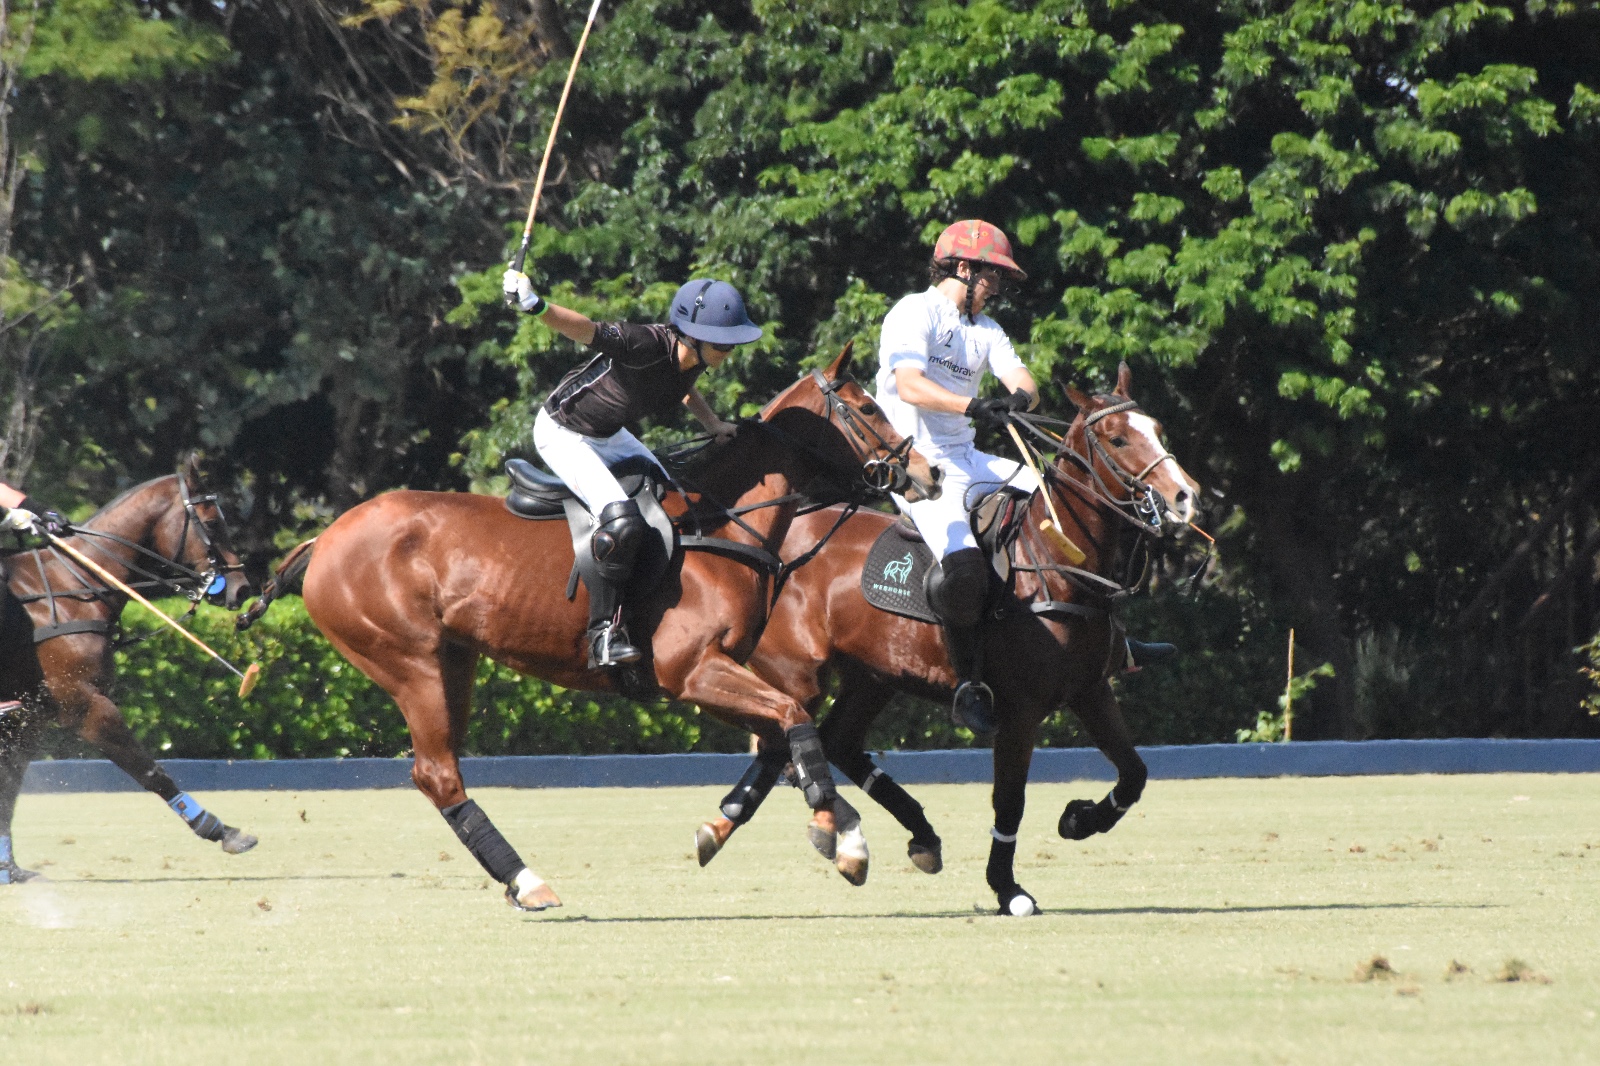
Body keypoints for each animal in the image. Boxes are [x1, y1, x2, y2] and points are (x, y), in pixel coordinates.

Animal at [0, 451, 256, 877]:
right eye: (213, 522)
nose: (242, 589)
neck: (75, 587)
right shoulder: (85, 705)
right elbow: (151, 771)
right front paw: (222, 830)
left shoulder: (31, 717)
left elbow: (10, 788)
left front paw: (10, 868)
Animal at [265, 347, 934, 902]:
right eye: (868, 406)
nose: (926, 475)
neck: (720, 524)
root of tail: (324, 540)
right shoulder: (691, 671)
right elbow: (794, 720)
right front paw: (839, 835)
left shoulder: (704, 680)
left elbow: (786, 736)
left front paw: (833, 835)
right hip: (409, 662)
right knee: (437, 774)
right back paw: (528, 882)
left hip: (455, 661)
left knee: (440, 767)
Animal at [700, 361, 1203, 909]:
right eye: (1117, 438)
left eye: (1156, 429)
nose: (1185, 496)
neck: (1058, 561)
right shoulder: (1019, 708)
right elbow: (1010, 800)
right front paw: (1008, 888)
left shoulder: (1089, 690)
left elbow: (1135, 773)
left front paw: (1078, 819)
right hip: (795, 670)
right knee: (785, 738)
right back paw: (753, 828)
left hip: (874, 673)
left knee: (835, 740)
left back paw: (915, 836)